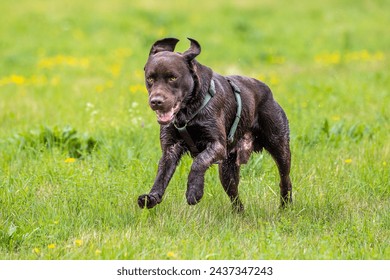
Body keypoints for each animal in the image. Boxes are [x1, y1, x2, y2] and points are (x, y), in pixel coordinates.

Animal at [138, 37, 292, 212]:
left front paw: (194, 192)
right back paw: (240, 213)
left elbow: (199, 162)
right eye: (150, 79)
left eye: (172, 78)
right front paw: (152, 197)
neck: (187, 112)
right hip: (227, 170)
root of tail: (269, 92)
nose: (156, 101)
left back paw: (285, 206)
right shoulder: (170, 148)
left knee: (285, 179)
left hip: (279, 146)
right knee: (235, 196)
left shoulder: (217, 145)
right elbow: (162, 174)